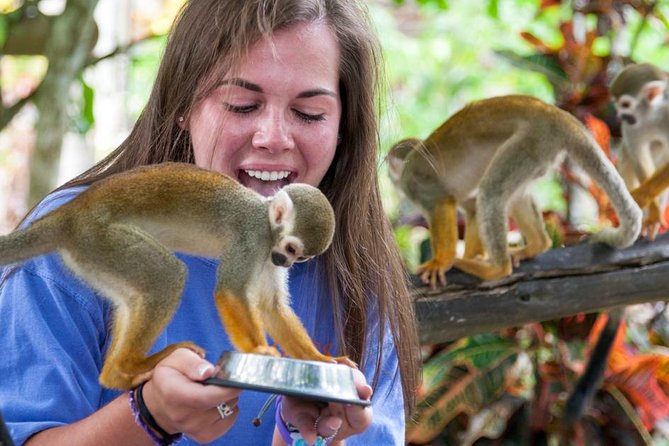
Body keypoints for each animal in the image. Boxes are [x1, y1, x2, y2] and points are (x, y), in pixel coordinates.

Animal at [0, 162, 352, 390]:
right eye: (291, 248)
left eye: (300, 257)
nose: (284, 262)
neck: (267, 225)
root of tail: (71, 214)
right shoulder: (251, 237)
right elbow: (230, 291)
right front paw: (258, 351)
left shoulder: (266, 254)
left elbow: (271, 308)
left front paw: (320, 359)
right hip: (100, 238)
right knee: (166, 277)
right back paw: (132, 364)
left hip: (93, 253)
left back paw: (114, 374)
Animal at [387, 95, 642, 287]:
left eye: (390, 165)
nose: (389, 176)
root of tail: (558, 115)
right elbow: (471, 208)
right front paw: (474, 255)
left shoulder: (416, 183)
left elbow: (443, 202)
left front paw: (442, 261)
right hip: (541, 153)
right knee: (511, 195)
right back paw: (537, 245)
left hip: (532, 140)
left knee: (491, 193)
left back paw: (496, 269)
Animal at [610, 63, 669, 237]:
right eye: (616, 104)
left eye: (625, 105)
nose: (620, 116)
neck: (652, 114)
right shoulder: (631, 125)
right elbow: (638, 156)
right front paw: (653, 212)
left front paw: (642, 197)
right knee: (627, 153)